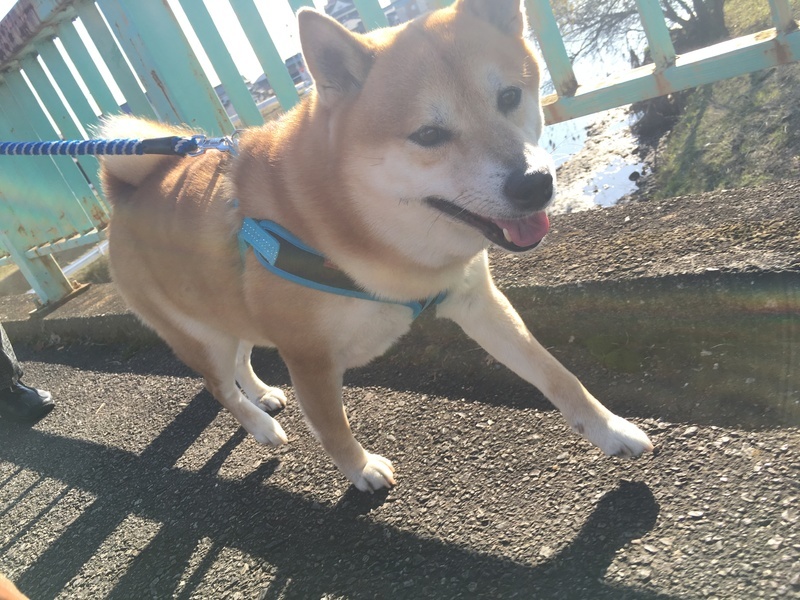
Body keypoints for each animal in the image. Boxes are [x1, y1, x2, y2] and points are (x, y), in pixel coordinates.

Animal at [99, 0, 653, 492]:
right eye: (428, 134)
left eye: (510, 96)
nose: (534, 184)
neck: (371, 234)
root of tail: (124, 193)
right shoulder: (309, 356)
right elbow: (333, 428)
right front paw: (360, 470)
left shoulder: (475, 299)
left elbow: (556, 375)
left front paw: (611, 429)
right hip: (200, 335)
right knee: (218, 385)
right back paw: (260, 425)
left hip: (229, 307)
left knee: (241, 358)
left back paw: (263, 395)